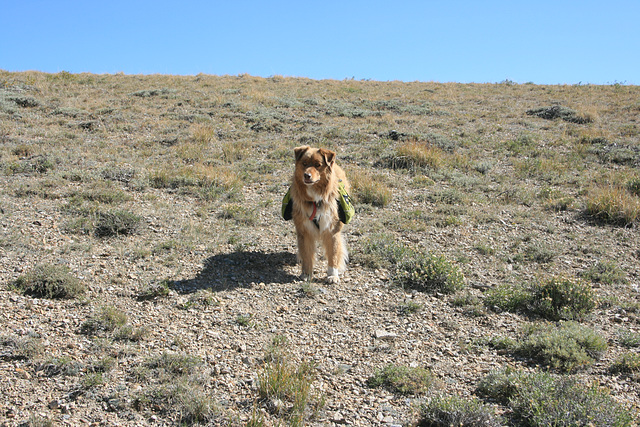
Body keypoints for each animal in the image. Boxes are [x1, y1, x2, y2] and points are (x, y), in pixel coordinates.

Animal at [288, 146, 352, 284]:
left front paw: (332, 275)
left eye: (318, 165)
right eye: (304, 163)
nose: (307, 175)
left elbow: (333, 255)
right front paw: (306, 274)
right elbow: (307, 254)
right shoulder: (304, 230)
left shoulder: (332, 230)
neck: (315, 200)